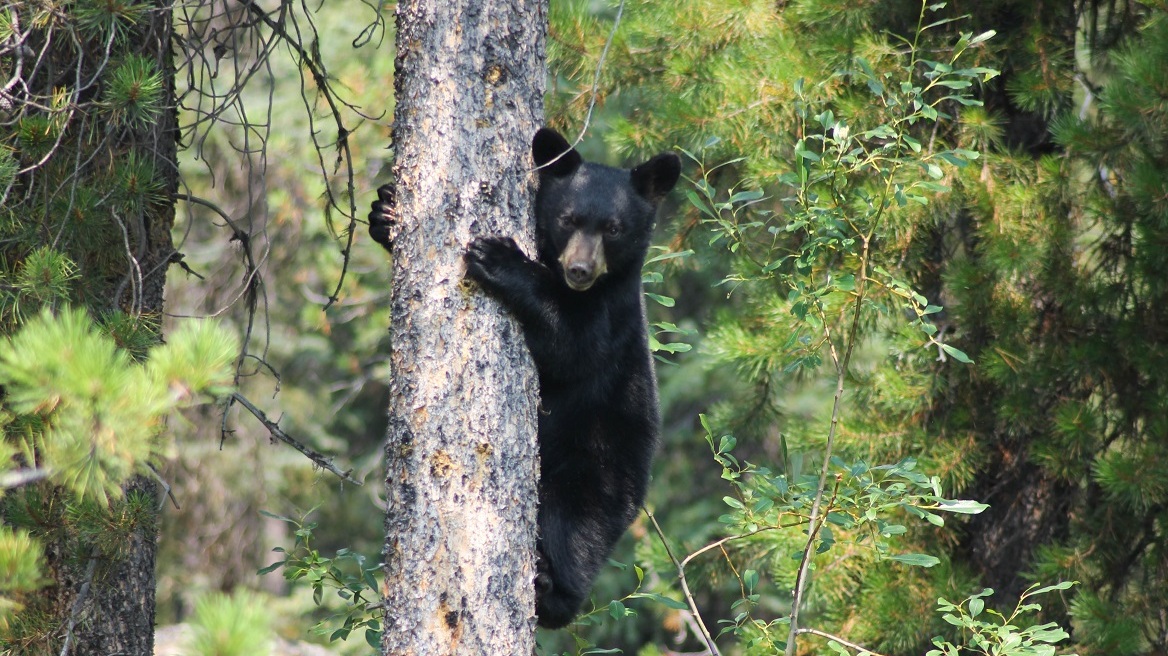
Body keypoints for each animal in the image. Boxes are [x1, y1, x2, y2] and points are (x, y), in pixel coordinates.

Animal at [369, 128, 682, 630]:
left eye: (614, 228)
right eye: (569, 218)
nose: (579, 270)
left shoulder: (611, 314)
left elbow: (571, 346)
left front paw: (498, 257)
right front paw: (385, 209)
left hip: (598, 465)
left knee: (575, 529)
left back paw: (550, 588)